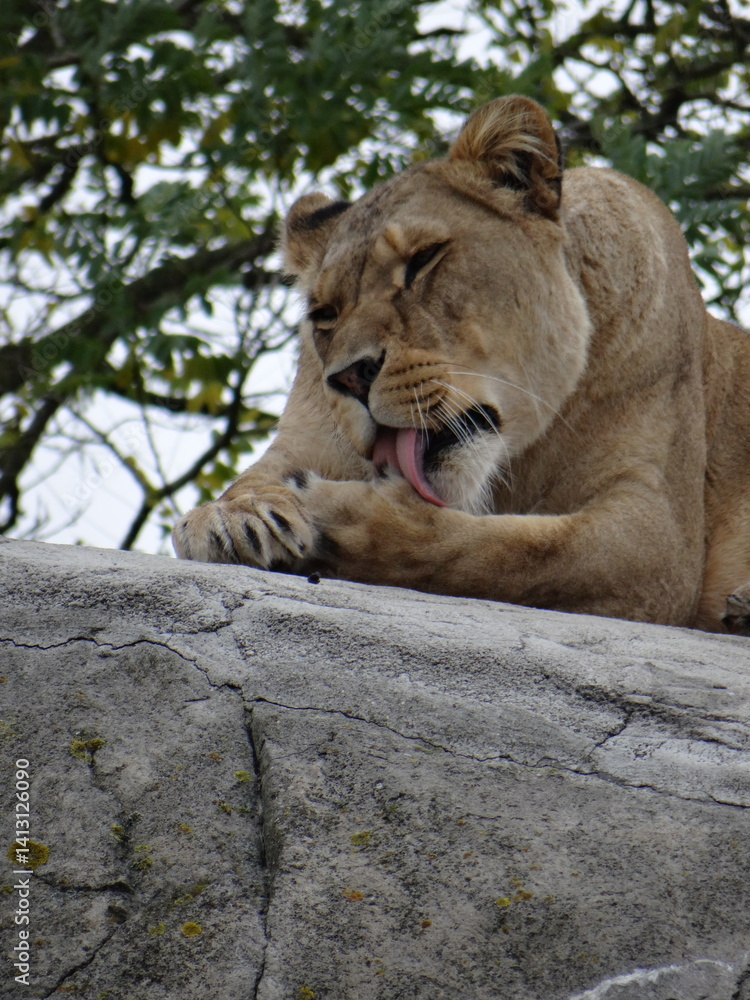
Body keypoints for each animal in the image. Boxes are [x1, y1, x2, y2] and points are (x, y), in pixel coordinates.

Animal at [172, 95, 750, 635]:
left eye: (423, 260)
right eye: (325, 314)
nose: (349, 376)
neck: (517, 455)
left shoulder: (659, 535)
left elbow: (519, 554)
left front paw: (338, 515)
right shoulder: (307, 436)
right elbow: (248, 482)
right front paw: (236, 517)